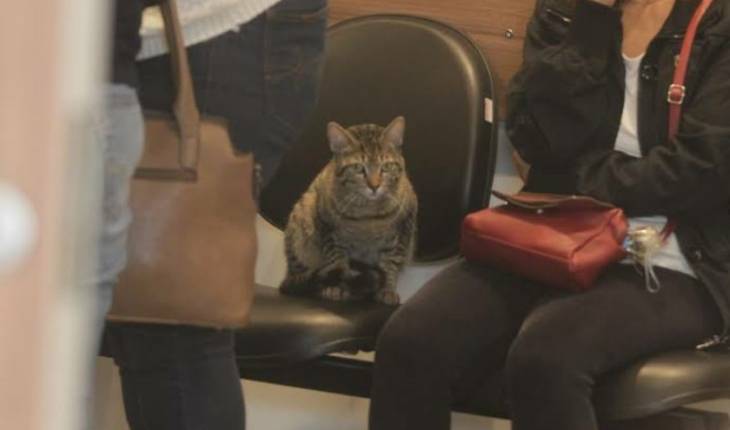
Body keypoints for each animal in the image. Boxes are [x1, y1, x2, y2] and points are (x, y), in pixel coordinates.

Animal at [280, 116, 418, 305]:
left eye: (386, 166)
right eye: (358, 167)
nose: (374, 186)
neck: (368, 216)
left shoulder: (404, 228)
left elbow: (391, 263)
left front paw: (387, 289)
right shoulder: (329, 230)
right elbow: (337, 261)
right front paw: (336, 287)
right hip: (301, 219)